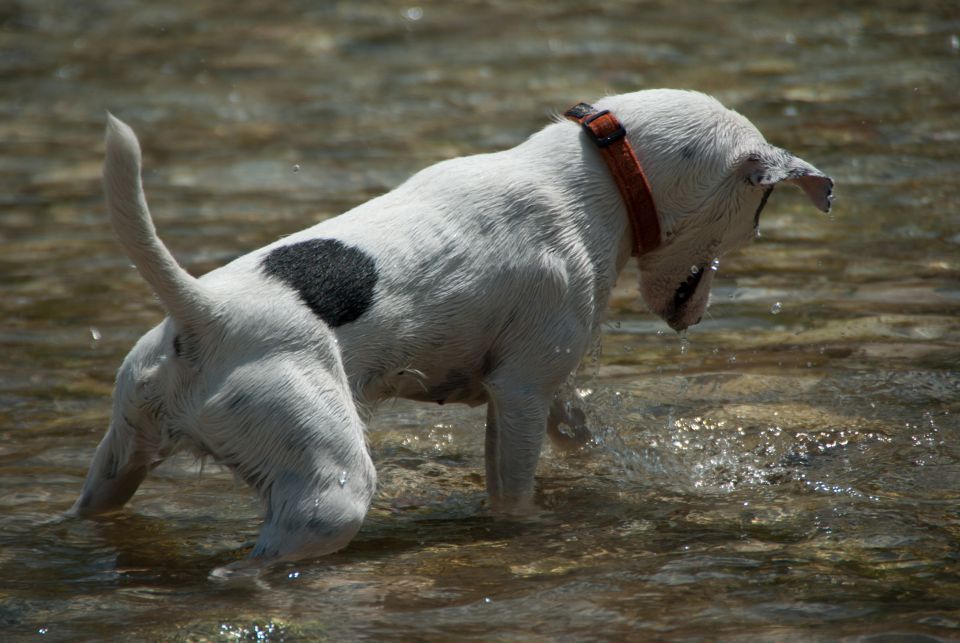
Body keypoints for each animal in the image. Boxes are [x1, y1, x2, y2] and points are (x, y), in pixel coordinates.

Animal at [71, 88, 832, 568]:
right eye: (760, 211)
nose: (699, 313)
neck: (603, 177)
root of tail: (203, 311)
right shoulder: (521, 392)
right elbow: (514, 492)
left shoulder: (536, 387)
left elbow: (576, 431)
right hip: (330, 492)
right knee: (252, 566)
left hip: (121, 458)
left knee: (93, 506)